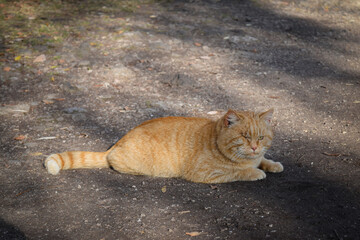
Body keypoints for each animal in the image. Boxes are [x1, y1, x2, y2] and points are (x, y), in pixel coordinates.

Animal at [44, 109, 284, 183]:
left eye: (261, 137)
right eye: (244, 136)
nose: (254, 147)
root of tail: (117, 143)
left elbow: (264, 160)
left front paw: (272, 164)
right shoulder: (205, 174)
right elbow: (238, 172)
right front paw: (255, 172)